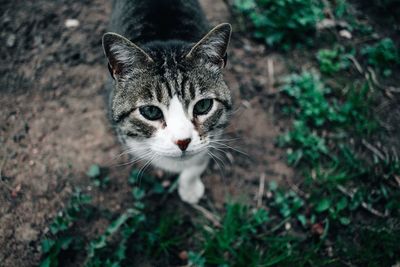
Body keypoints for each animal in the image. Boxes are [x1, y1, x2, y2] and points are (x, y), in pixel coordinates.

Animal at [102, 0, 231, 204]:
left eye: (203, 106)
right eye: (150, 111)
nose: (183, 142)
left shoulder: (215, 134)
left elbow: (198, 161)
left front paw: (190, 187)